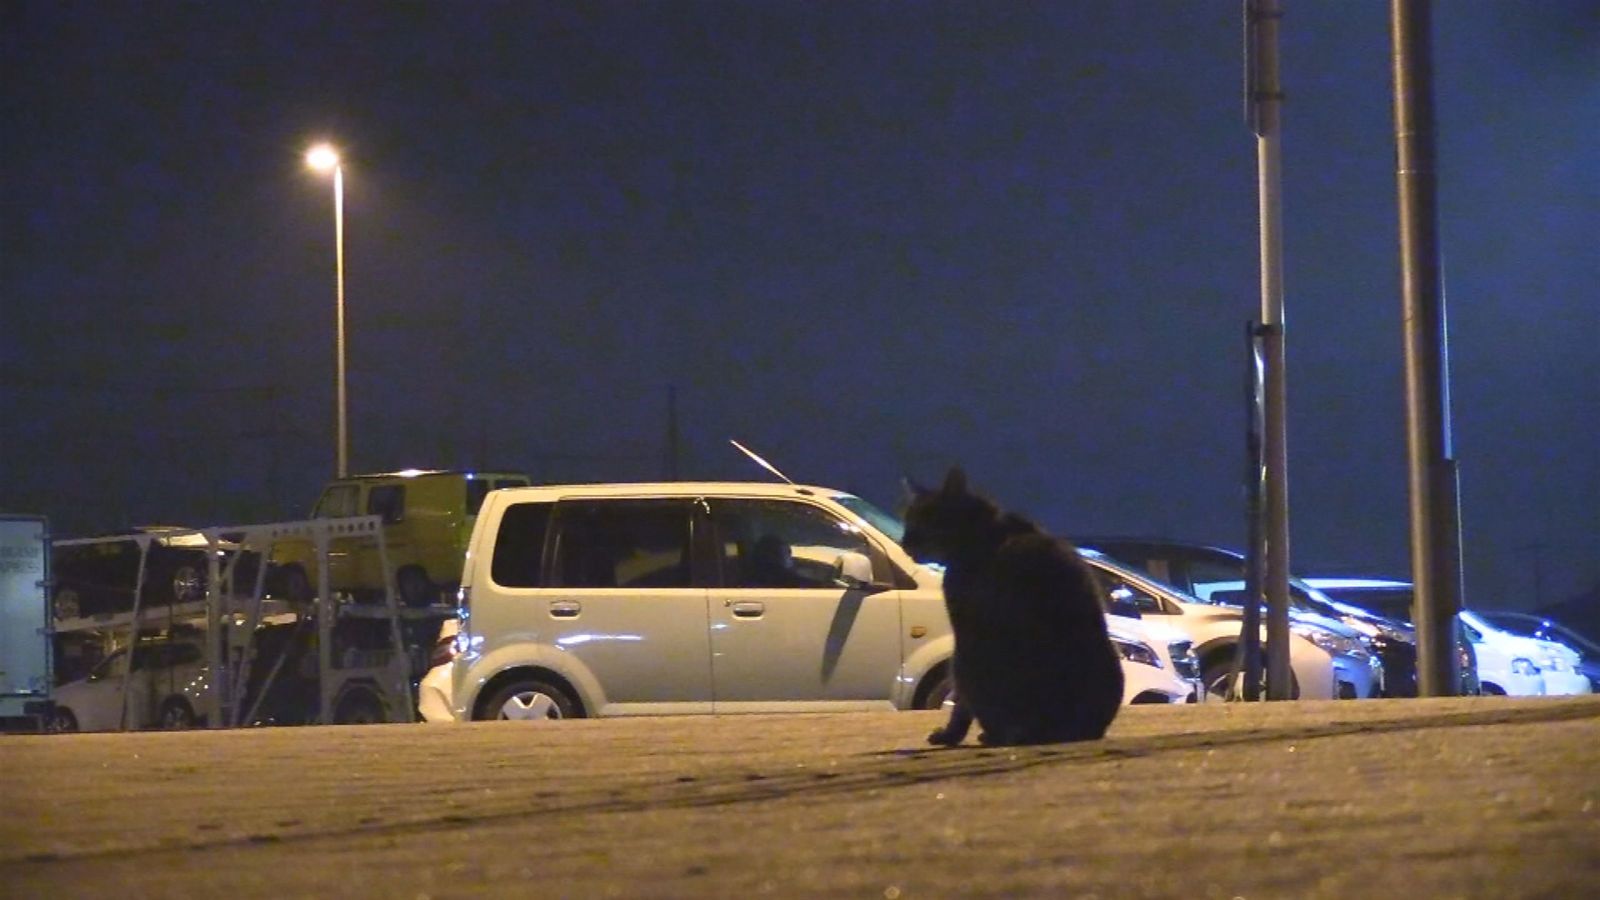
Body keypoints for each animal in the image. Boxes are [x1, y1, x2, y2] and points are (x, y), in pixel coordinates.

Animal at [902, 464, 1126, 746]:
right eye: (907, 519)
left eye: (926, 519)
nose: (904, 543)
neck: (986, 532)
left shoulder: (964, 632)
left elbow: (960, 705)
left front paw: (949, 735)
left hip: (966, 659)